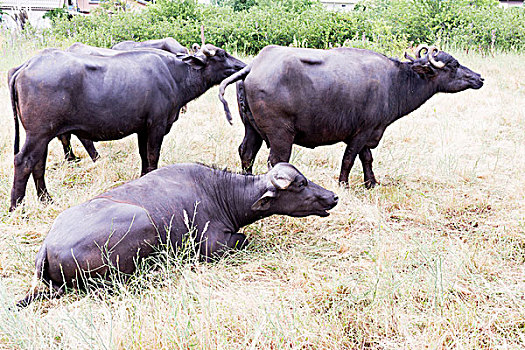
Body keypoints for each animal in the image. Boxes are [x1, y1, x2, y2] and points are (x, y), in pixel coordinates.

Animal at [8, 43, 246, 211]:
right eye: (222, 54)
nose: (242, 66)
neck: (174, 75)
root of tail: (26, 66)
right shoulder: (157, 125)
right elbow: (152, 156)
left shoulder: (143, 128)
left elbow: (143, 156)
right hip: (38, 134)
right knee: (23, 161)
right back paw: (17, 207)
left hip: (42, 135)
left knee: (38, 163)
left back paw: (46, 199)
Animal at [17, 162, 340, 306]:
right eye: (300, 184)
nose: (333, 197)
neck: (221, 193)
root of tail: (47, 248)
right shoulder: (213, 246)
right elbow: (244, 240)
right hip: (142, 224)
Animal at [217, 45, 484, 187]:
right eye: (453, 65)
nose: (479, 78)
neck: (395, 82)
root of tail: (253, 66)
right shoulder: (361, 132)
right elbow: (349, 159)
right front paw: (343, 184)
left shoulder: (369, 132)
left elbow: (367, 158)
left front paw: (371, 183)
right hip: (280, 134)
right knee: (276, 160)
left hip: (251, 129)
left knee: (246, 153)